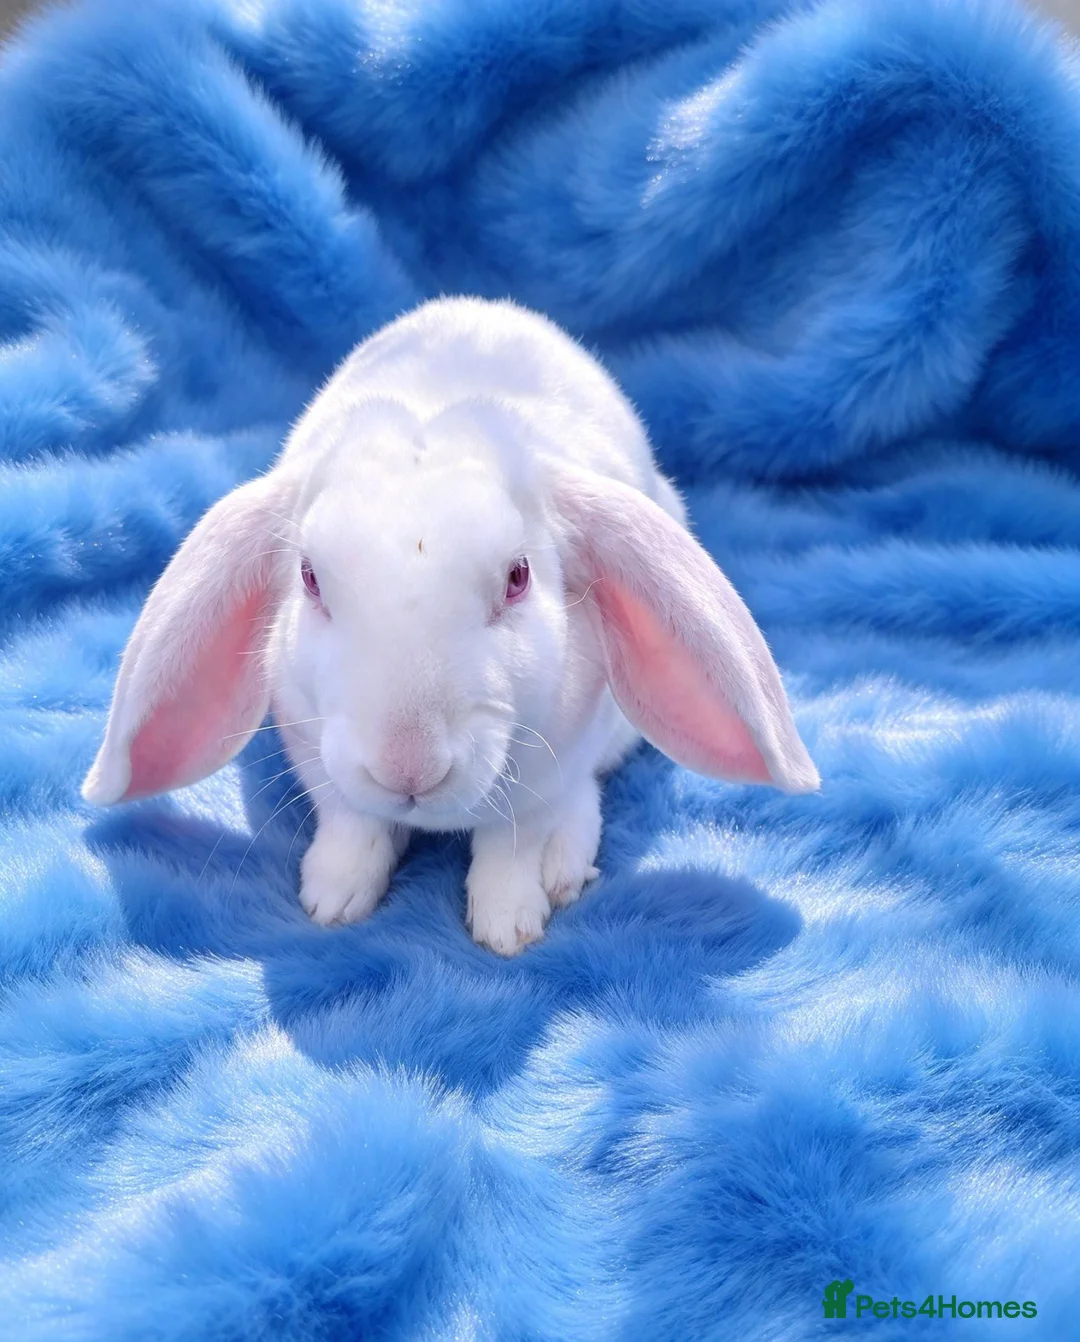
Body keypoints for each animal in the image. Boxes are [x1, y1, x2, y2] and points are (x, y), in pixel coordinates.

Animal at [82, 297, 819, 955]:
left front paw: (508, 926)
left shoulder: (547, 775)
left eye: (518, 576)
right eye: (310, 578)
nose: (407, 768)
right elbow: (353, 824)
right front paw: (332, 900)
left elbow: (512, 846)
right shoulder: (318, 757)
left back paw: (564, 868)